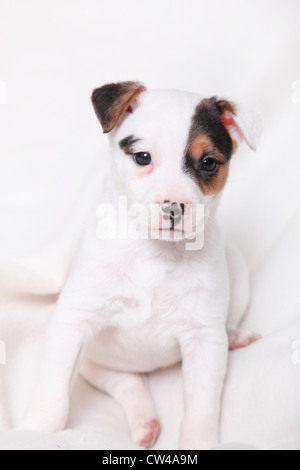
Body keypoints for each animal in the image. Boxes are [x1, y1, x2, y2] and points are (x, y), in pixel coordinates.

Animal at [19, 82, 262, 450]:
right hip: (95, 363)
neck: (156, 252)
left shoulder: (204, 342)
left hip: (236, 274)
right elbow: (55, 391)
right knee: (124, 382)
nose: (174, 207)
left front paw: (198, 442)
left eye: (208, 163)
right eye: (142, 157)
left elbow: (201, 410)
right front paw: (36, 431)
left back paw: (233, 335)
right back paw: (144, 419)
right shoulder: (74, 322)